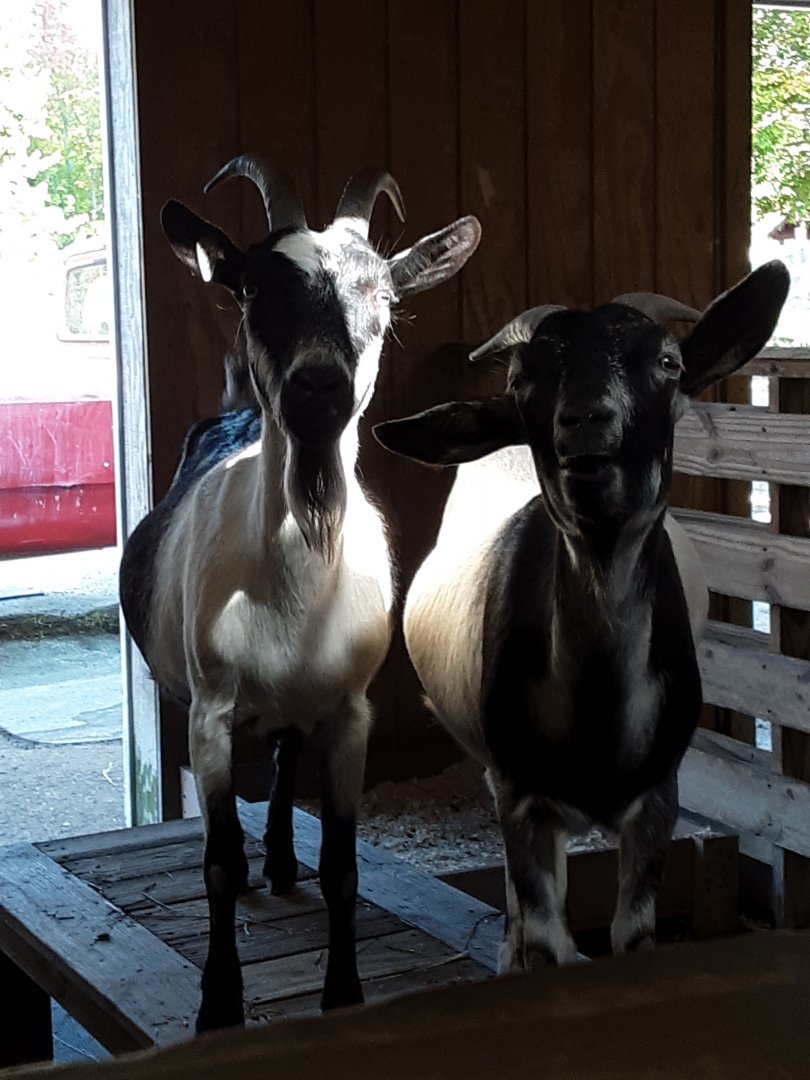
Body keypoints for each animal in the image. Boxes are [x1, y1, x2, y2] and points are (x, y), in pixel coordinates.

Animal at [119, 156, 481, 1031]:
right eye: (254, 288)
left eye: (382, 295)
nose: (319, 389)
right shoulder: (210, 712)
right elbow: (217, 861)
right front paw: (219, 1004)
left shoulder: (351, 713)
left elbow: (343, 864)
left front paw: (343, 993)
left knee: (285, 754)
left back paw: (282, 862)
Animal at [373, 262, 788, 970]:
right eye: (521, 378)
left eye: (669, 362)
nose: (585, 425)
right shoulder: (521, 794)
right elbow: (550, 942)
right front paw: (524, 957)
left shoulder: (658, 796)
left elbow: (633, 936)